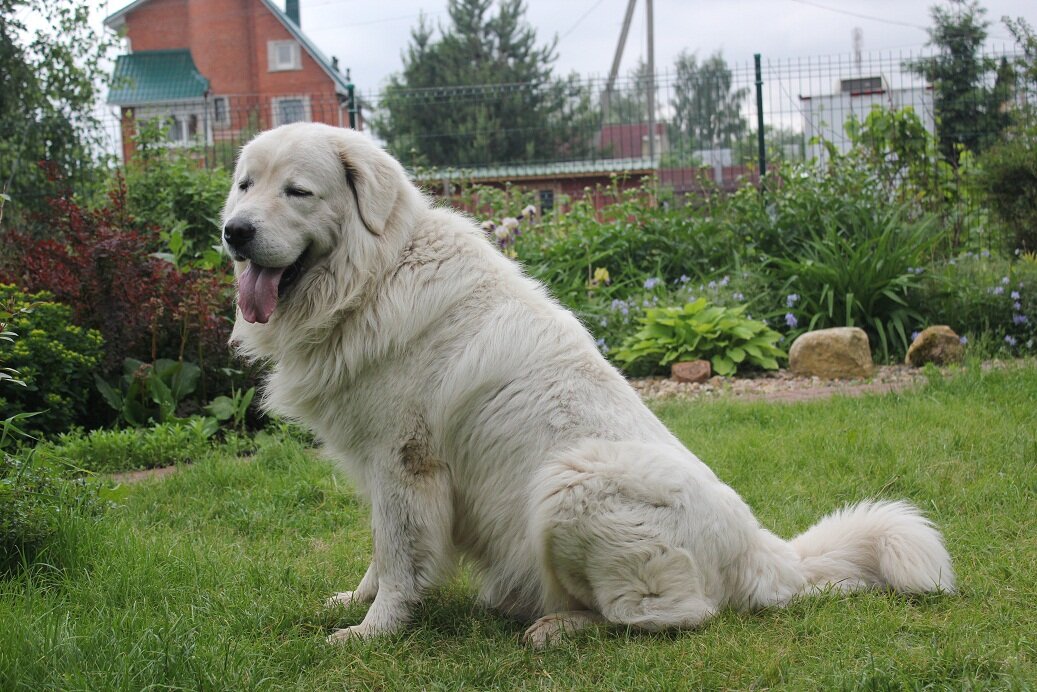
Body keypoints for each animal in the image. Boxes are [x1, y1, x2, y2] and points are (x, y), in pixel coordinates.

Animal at [222, 121, 949, 647]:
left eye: (297, 191)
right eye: (245, 185)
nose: (234, 231)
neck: (373, 275)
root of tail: (763, 553)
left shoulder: (407, 465)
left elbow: (401, 561)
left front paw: (372, 633)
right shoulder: (380, 470)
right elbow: (381, 551)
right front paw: (356, 601)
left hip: (569, 482)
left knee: (671, 616)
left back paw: (558, 627)